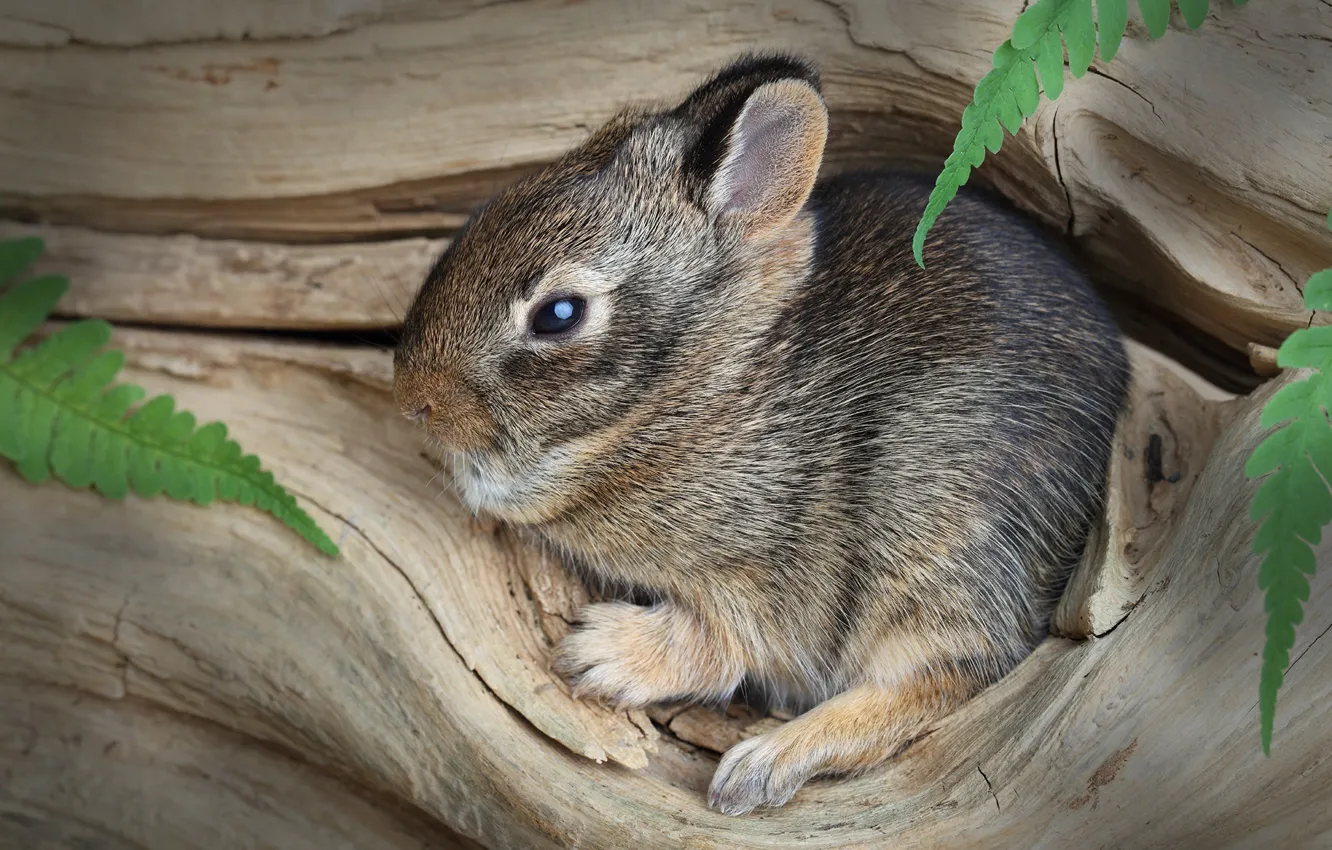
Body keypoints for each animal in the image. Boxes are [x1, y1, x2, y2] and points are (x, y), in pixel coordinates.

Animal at [391, 53, 1124, 820]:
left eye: (558, 314)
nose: (414, 399)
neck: (710, 382)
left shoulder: (764, 582)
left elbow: (717, 643)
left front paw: (599, 654)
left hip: (931, 545)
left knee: (953, 673)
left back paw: (762, 763)